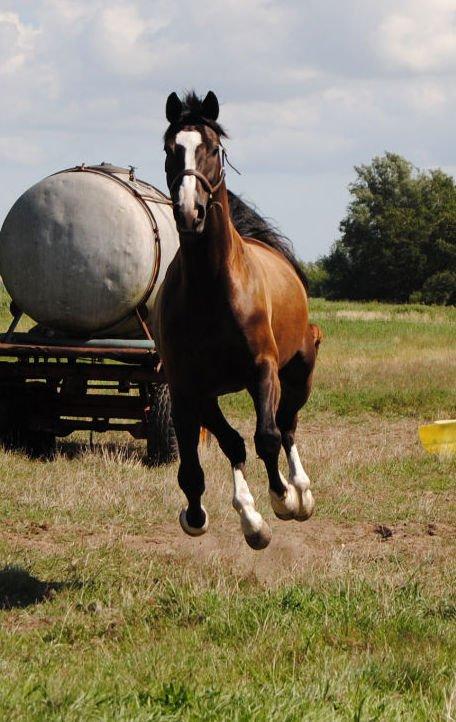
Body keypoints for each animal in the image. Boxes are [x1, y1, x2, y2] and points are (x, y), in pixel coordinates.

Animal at [153, 93, 320, 548]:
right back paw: (251, 512)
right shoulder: (187, 386)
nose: (189, 213)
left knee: (287, 425)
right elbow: (203, 460)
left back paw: (301, 492)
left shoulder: (262, 370)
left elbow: (267, 436)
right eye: (170, 149)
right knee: (238, 442)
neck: (212, 289)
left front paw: (283, 499)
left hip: (298, 373)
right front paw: (211, 516)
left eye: (212, 149)